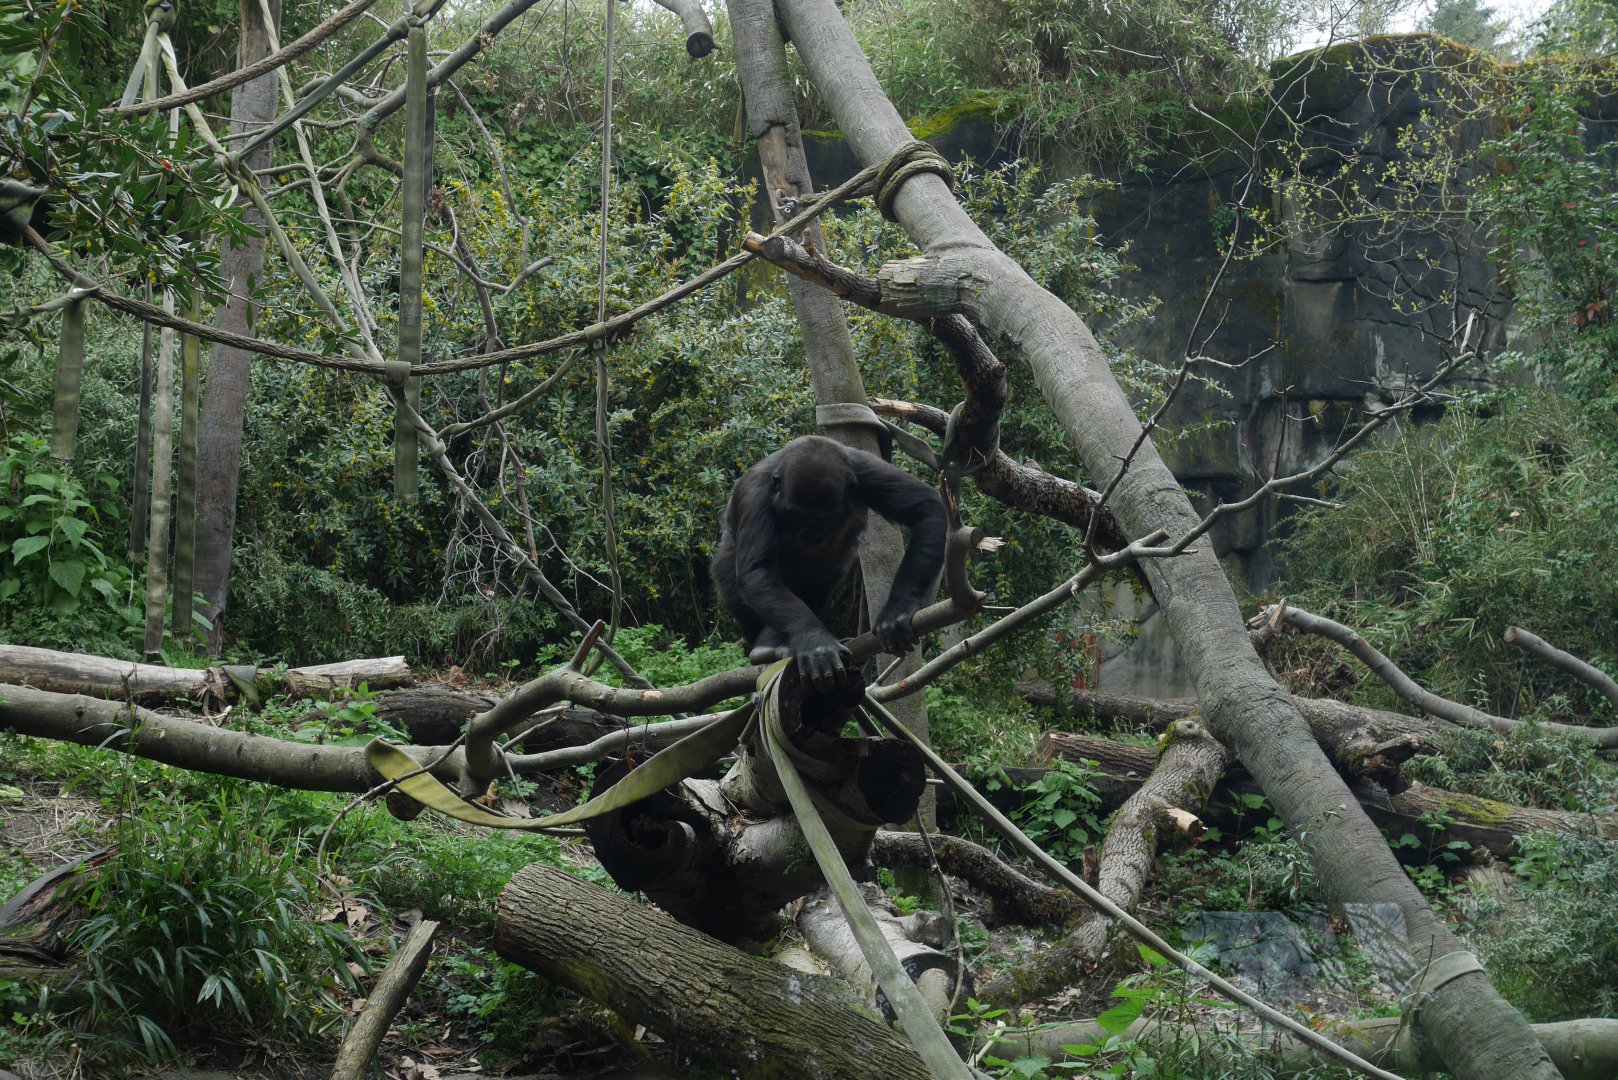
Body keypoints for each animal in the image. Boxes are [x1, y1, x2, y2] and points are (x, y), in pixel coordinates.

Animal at [712, 435, 947, 694]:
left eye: (825, 517)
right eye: (796, 515)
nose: (811, 536)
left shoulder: (866, 470)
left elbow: (927, 508)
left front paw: (897, 609)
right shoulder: (754, 495)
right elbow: (757, 571)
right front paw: (815, 641)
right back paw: (766, 647)